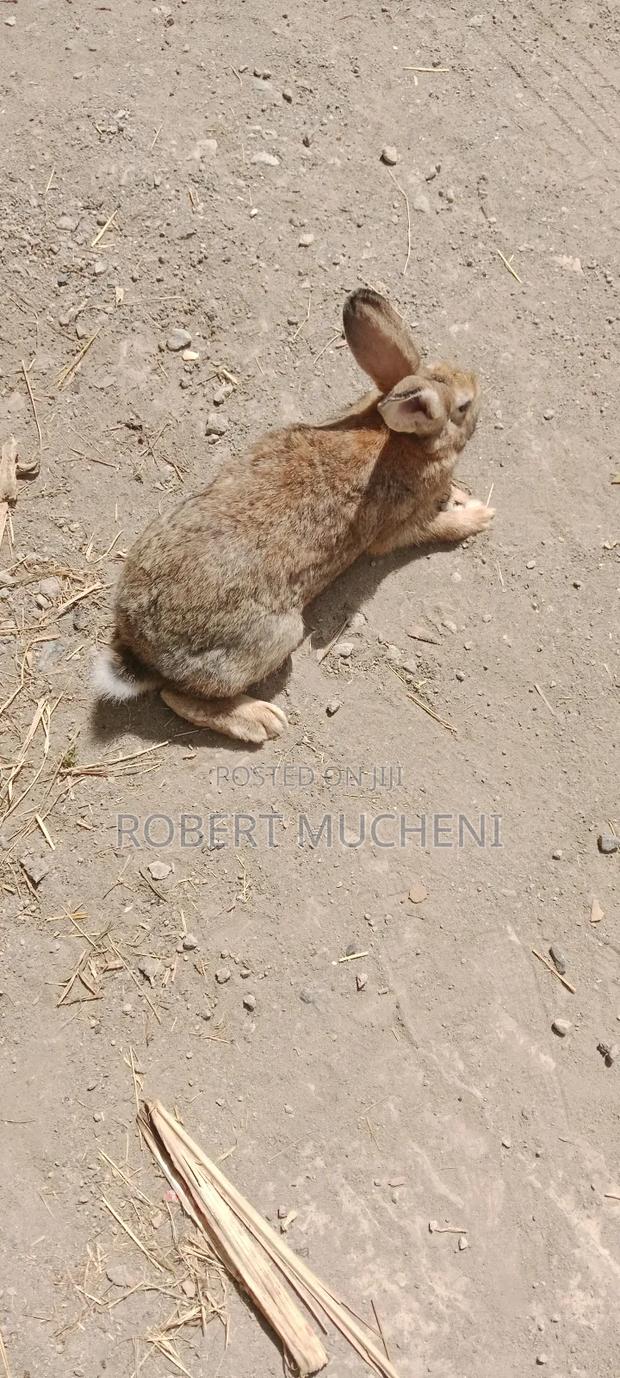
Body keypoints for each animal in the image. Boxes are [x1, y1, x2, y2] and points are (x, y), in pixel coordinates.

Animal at [93, 288, 493, 742]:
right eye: (463, 406)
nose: (477, 381)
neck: (404, 440)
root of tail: (143, 647)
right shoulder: (399, 527)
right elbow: (434, 527)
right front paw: (479, 515)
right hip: (277, 637)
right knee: (177, 697)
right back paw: (260, 720)